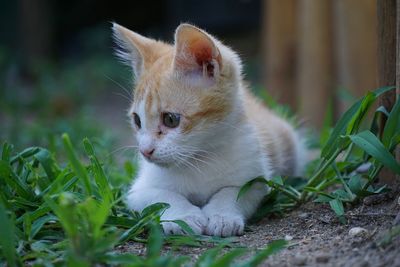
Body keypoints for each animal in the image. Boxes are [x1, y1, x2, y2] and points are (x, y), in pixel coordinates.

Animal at [112, 23, 306, 237]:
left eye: (170, 119)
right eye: (137, 120)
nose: (145, 151)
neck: (199, 159)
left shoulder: (256, 179)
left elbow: (233, 192)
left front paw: (222, 216)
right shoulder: (138, 191)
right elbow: (162, 196)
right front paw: (183, 216)